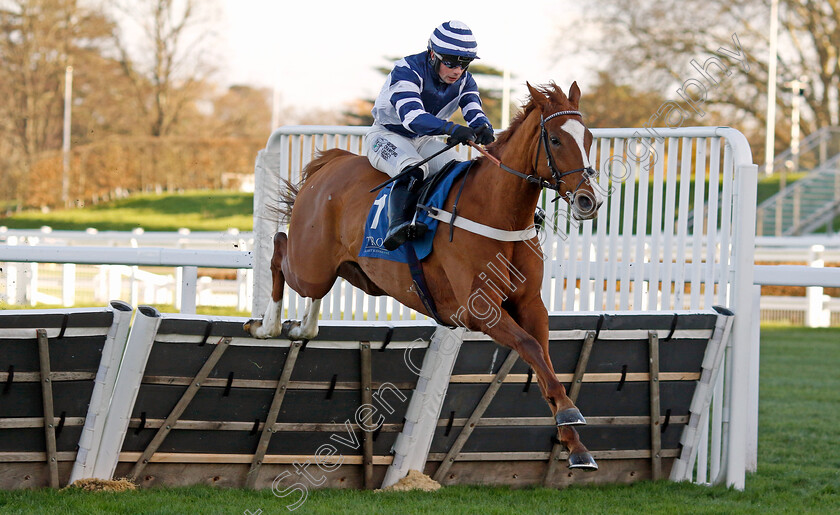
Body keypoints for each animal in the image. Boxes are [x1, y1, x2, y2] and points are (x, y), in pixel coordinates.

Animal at [246, 81, 608, 472]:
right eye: (555, 140)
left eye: (588, 137)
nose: (589, 201)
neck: (498, 212)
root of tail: (332, 163)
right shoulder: (481, 310)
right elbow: (529, 347)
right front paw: (569, 413)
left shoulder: (531, 304)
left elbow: (543, 358)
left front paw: (575, 442)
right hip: (310, 264)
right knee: (280, 247)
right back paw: (266, 326)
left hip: (357, 274)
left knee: (313, 289)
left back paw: (303, 327)